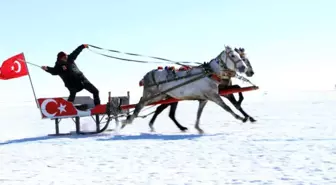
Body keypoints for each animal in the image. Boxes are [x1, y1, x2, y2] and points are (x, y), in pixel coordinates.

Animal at [122, 45, 251, 134]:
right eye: (233, 55)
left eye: (240, 56)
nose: (244, 68)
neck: (209, 74)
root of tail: (148, 75)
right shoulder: (214, 96)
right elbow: (227, 107)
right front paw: (241, 117)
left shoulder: (204, 98)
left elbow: (199, 113)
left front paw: (198, 128)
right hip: (153, 95)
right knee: (140, 104)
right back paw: (127, 121)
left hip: (163, 96)